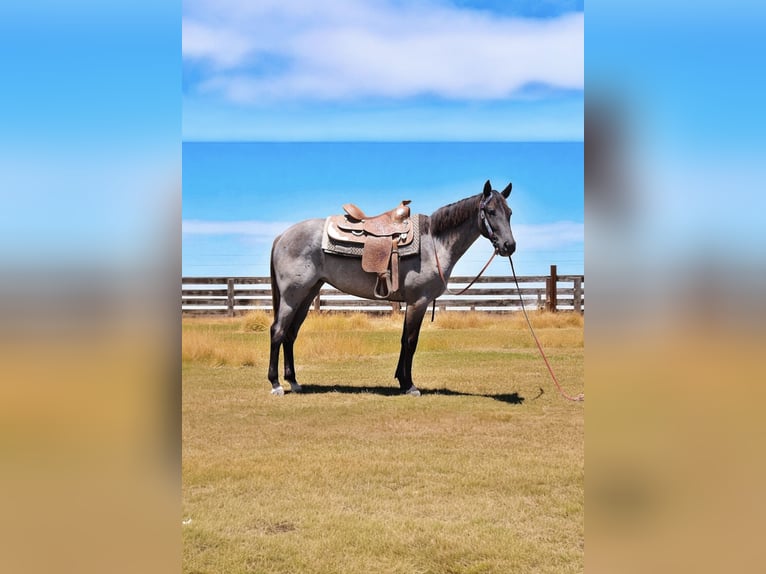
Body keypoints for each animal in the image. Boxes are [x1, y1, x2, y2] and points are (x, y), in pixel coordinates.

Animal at [268, 179, 516, 397]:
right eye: (491, 211)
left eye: (510, 213)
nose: (509, 246)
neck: (434, 244)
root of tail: (282, 236)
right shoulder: (418, 302)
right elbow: (411, 342)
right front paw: (410, 386)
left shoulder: (411, 303)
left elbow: (404, 340)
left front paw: (402, 380)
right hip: (292, 296)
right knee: (277, 331)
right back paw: (276, 384)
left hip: (307, 294)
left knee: (290, 334)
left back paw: (294, 382)